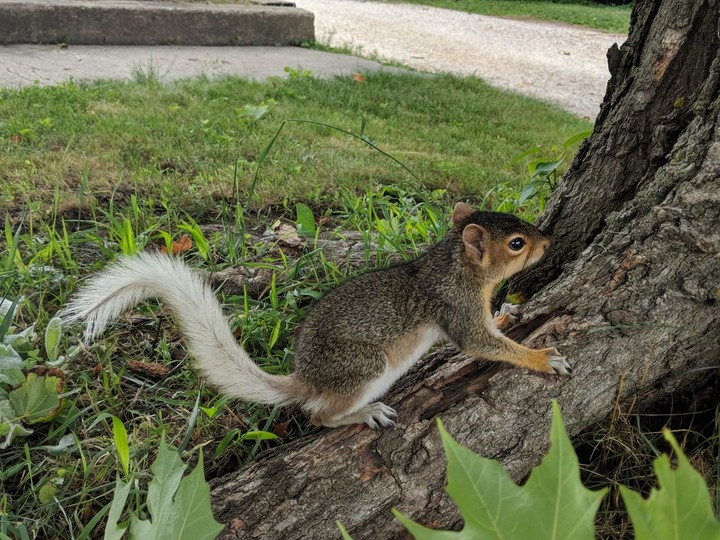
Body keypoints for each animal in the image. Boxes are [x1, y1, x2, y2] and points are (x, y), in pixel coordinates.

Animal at [62, 202, 570, 429]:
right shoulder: (456, 307)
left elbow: (490, 331)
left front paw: (508, 312)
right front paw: (543, 358)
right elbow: (479, 344)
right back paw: (363, 413)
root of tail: (307, 379)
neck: (457, 267)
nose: (549, 239)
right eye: (517, 244)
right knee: (318, 415)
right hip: (366, 367)